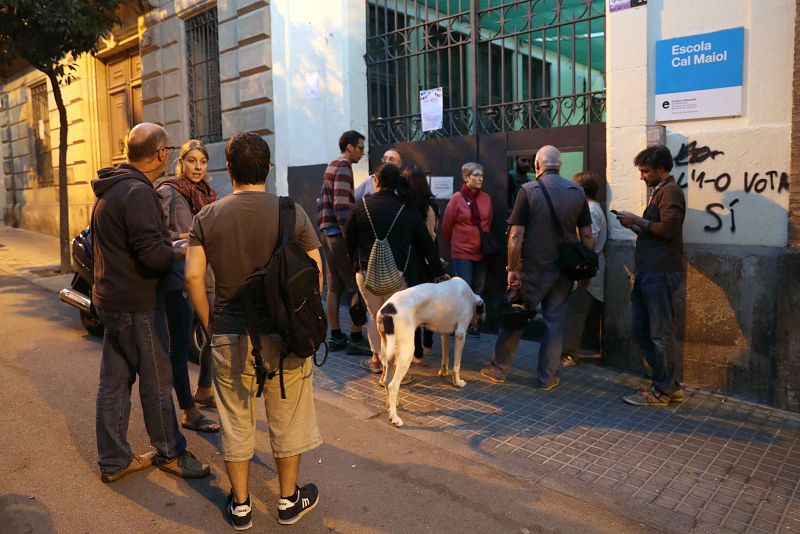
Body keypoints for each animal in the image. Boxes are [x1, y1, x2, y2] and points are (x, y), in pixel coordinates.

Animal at [376, 278, 484, 430]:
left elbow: (446, 357)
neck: (470, 296)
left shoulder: (445, 333)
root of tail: (387, 310)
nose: (484, 320)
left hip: (390, 351)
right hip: (406, 353)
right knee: (393, 385)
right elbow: (456, 366)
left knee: (386, 381)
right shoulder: (460, 335)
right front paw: (457, 382)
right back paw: (395, 418)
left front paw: (444, 372)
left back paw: (391, 406)